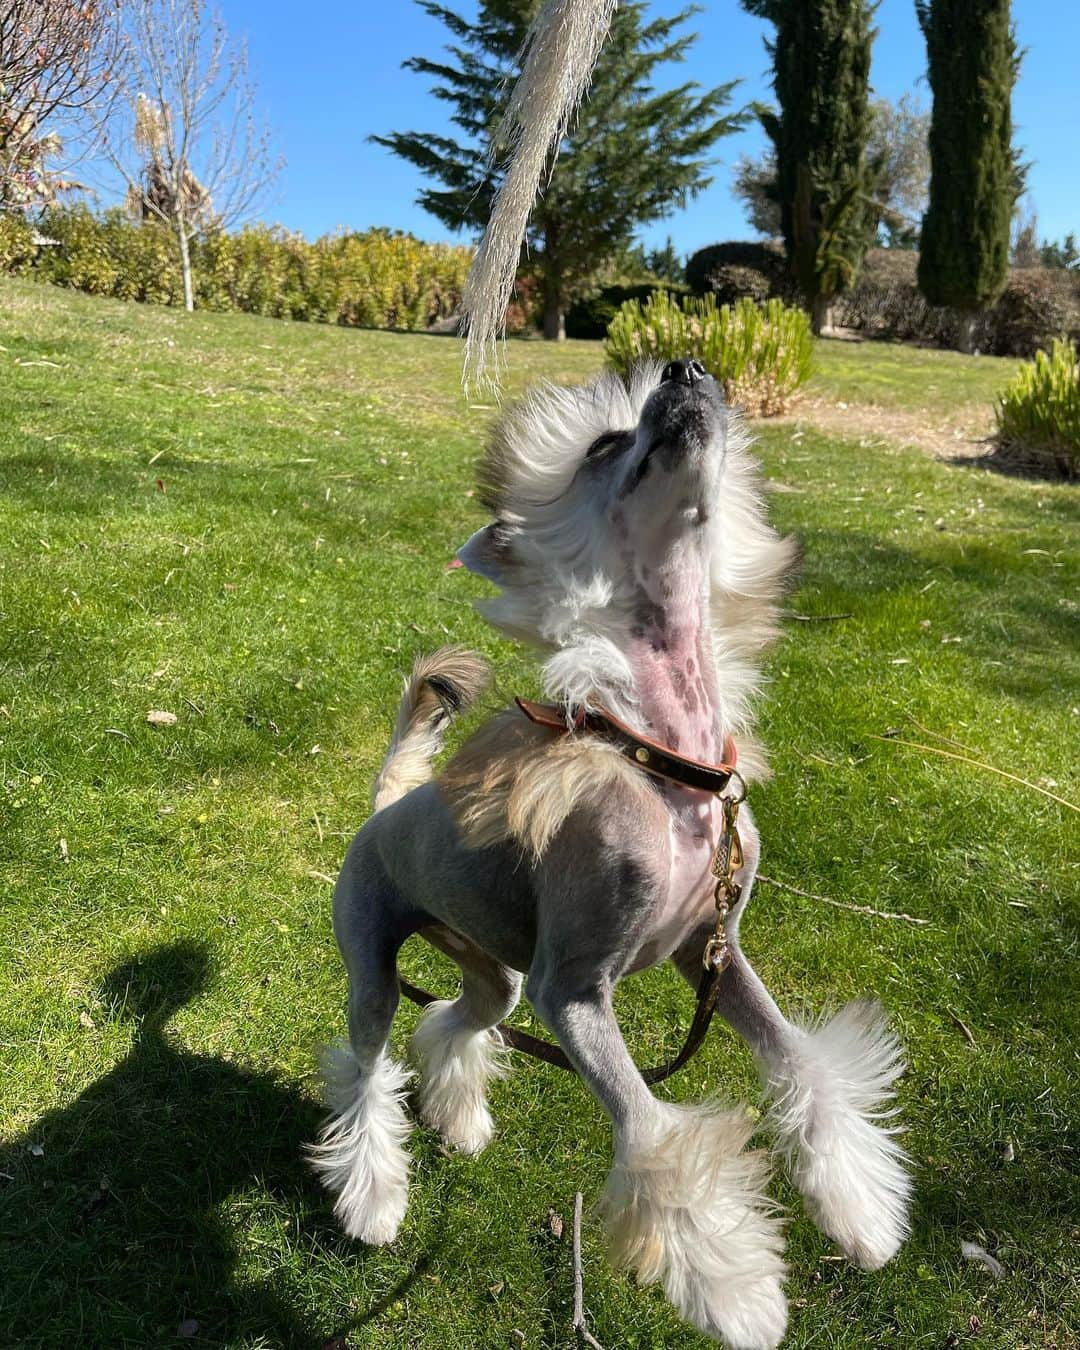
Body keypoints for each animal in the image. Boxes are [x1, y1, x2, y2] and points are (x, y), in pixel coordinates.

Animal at [310, 359, 912, 1350]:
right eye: (604, 444)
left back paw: (461, 1121)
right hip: (377, 959)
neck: (667, 768)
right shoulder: (575, 991)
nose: (690, 368)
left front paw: (858, 1209)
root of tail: (390, 803)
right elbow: (650, 1127)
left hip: (497, 972)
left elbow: (798, 1060)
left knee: (455, 1023)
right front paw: (740, 1295)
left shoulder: (713, 951)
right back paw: (373, 1202)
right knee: (366, 1070)